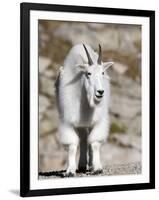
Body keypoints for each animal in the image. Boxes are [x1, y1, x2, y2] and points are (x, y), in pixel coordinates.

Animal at [55, 43, 112, 177]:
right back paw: (81, 165)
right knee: (84, 139)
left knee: (88, 140)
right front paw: (70, 170)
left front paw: (97, 168)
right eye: (88, 73)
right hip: (80, 125)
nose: (100, 92)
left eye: (102, 72)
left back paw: (90, 165)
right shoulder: (67, 122)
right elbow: (72, 145)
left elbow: (95, 143)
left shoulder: (99, 121)